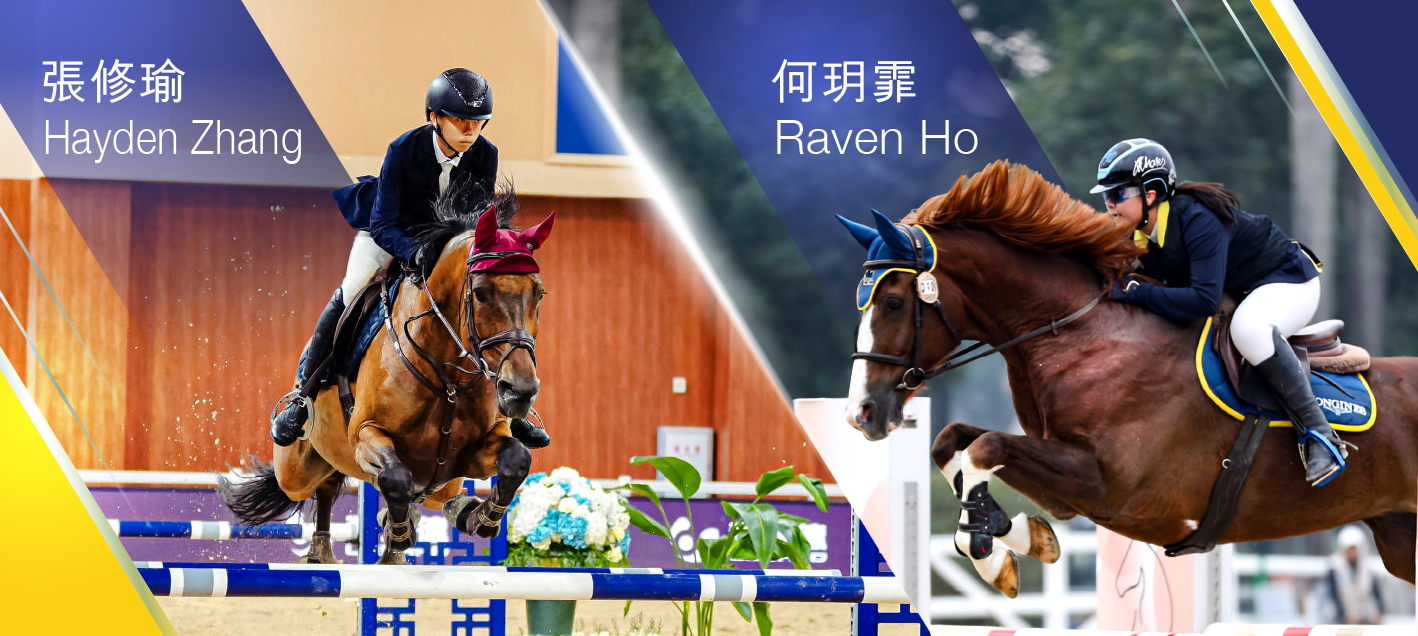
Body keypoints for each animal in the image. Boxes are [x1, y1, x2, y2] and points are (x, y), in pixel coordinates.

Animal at [219, 187, 552, 565]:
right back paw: (323, 546)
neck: (447, 379)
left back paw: (457, 512)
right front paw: (400, 532)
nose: (520, 391)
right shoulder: (367, 434)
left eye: (539, 293)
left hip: (441, 481)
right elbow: (395, 477)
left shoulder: (474, 448)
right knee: (322, 487)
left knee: (438, 495)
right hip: (297, 469)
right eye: (479, 293)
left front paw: (483, 519)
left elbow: (517, 458)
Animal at [839, 161, 1417, 597]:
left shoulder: (1110, 484)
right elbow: (951, 441)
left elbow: (983, 448)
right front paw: (1016, 536)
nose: (860, 413)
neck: (1078, 332)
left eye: (894, 302)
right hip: (1399, 539)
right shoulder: (1069, 484)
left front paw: (990, 552)